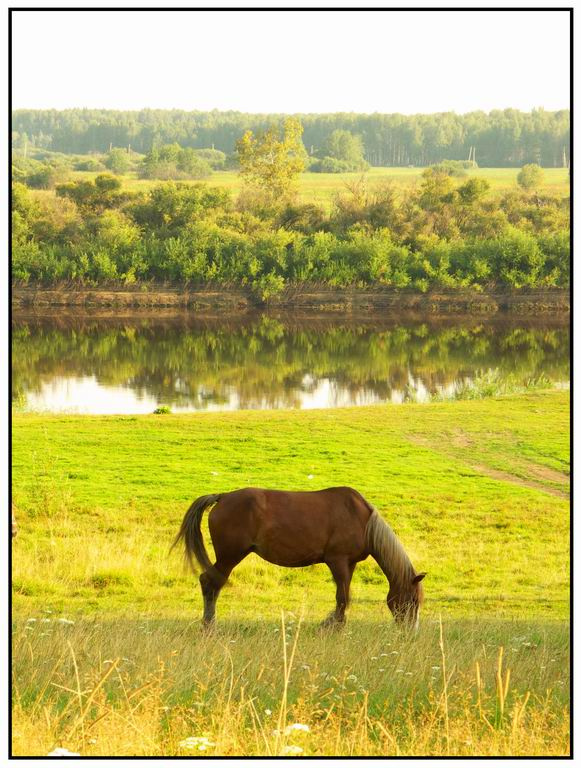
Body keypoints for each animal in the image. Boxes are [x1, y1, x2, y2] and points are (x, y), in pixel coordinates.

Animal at [173, 486, 425, 629]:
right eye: (412, 600)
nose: (409, 631)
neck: (363, 520)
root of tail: (222, 497)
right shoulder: (338, 561)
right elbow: (342, 596)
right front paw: (332, 625)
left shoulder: (350, 563)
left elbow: (344, 596)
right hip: (230, 556)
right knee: (211, 583)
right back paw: (209, 625)